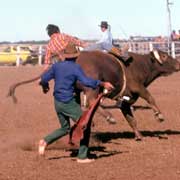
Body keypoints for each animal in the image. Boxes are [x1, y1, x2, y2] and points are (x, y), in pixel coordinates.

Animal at [7, 49, 180, 141]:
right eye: (165, 56)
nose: (178, 63)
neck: (140, 65)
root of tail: (73, 59)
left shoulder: (126, 101)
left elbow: (131, 119)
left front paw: (139, 136)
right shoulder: (138, 87)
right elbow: (150, 98)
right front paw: (159, 115)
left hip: (75, 90)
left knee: (80, 105)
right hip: (91, 87)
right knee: (91, 102)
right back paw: (109, 117)